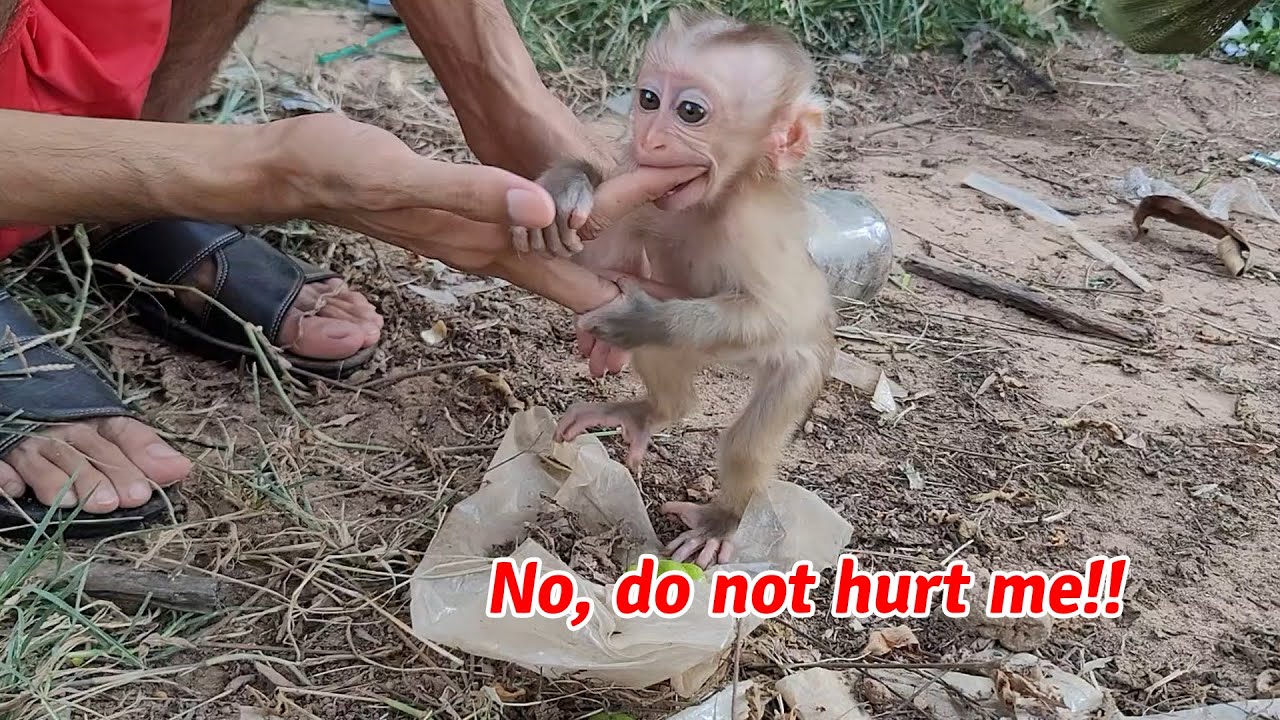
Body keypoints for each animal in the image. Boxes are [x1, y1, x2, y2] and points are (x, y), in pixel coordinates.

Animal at [511, 10, 836, 569]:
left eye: (689, 111)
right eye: (647, 99)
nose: (650, 140)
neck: (715, 199)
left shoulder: (752, 229)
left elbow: (775, 313)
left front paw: (641, 315)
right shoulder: (645, 190)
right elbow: (591, 262)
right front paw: (568, 186)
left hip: (799, 368)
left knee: (750, 437)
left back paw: (724, 517)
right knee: (667, 358)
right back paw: (656, 411)